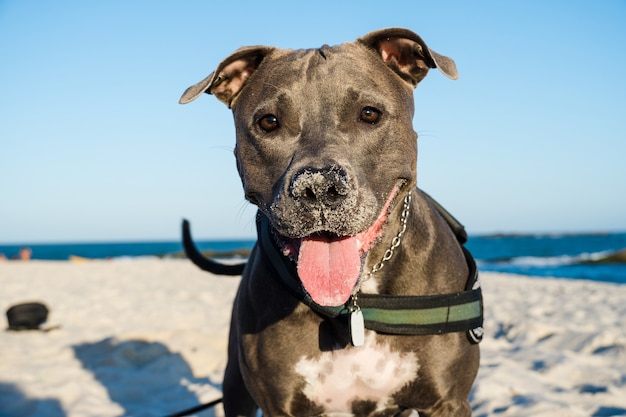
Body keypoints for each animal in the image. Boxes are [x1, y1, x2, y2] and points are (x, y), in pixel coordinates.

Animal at [180, 27, 482, 414]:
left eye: (369, 113)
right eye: (269, 122)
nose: (319, 187)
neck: (356, 303)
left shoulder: (448, 402)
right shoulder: (280, 406)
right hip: (235, 388)